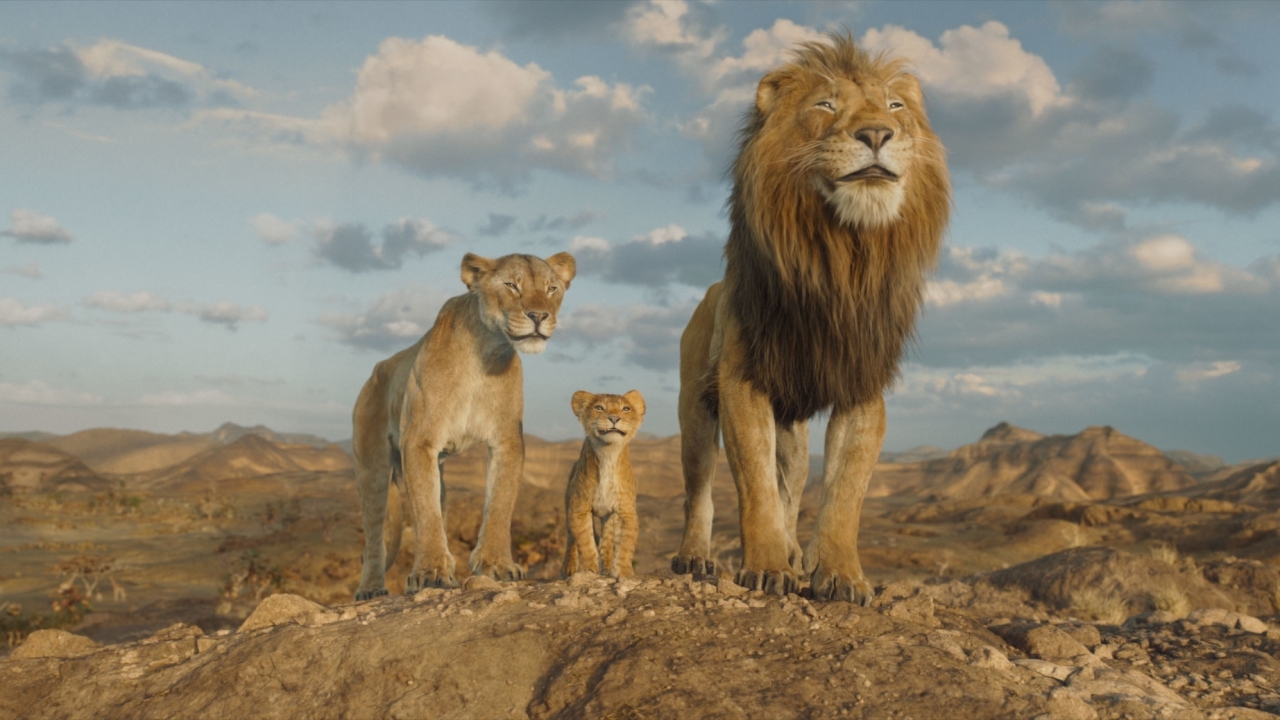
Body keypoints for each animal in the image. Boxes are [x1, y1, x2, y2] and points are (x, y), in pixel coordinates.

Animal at [352, 251, 576, 600]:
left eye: (551, 288)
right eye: (511, 285)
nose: (539, 315)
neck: (485, 351)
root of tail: (376, 371)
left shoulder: (507, 441)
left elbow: (499, 504)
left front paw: (497, 564)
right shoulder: (419, 441)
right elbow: (425, 513)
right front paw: (430, 573)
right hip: (372, 467)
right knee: (375, 534)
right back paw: (371, 589)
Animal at [561, 390, 646, 579]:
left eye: (626, 408)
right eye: (599, 407)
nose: (614, 418)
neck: (608, 453)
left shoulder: (626, 511)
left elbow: (625, 545)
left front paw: (623, 573)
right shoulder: (579, 509)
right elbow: (585, 543)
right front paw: (589, 571)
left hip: (609, 517)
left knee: (607, 543)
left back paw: (606, 568)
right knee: (570, 538)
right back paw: (568, 568)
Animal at [671, 34, 950, 603]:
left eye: (896, 107)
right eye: (825, 105)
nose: (877, 134)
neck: (841, 257)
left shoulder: (861, 384)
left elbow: (845, 492)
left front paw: (840, 575)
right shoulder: (742, 381)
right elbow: (754, 487)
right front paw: (766, 567)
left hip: (793, 432)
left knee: (792, 487)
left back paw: (795, 551)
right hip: (694, 409)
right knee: (700, 489)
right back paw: (695, 557)